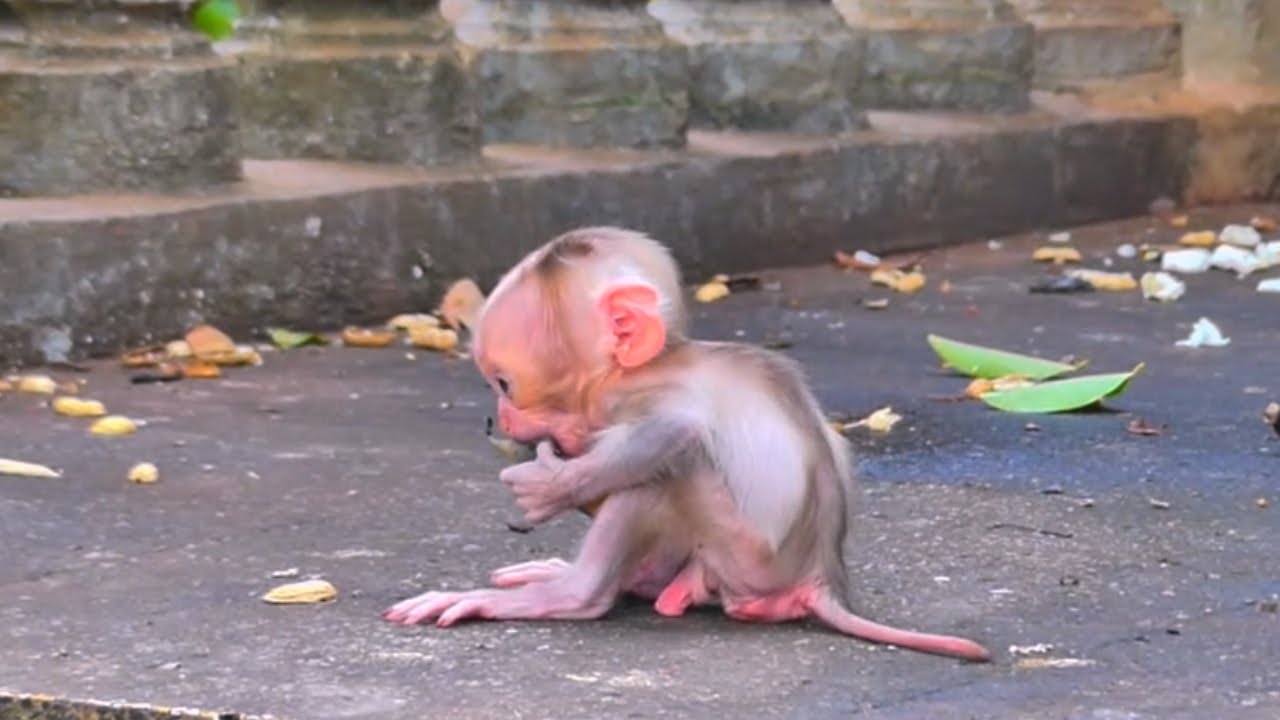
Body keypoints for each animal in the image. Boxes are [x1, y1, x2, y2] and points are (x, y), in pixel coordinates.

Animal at [384, 227, 991, 662]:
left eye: (505, 383)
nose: (498, 416)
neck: (645, 367)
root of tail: (821, 575)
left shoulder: (641, 398)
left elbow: (675, 433)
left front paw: (549, 487)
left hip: (745, 557)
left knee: (666, 469)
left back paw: (573, 592)